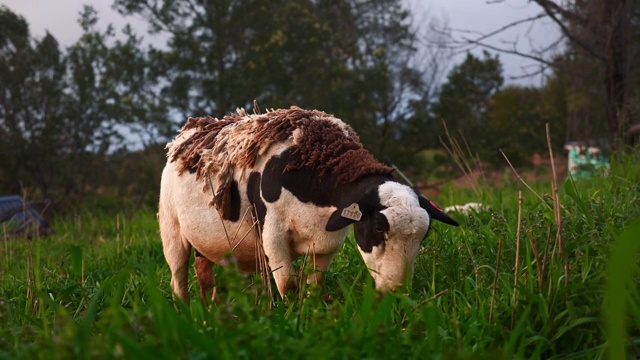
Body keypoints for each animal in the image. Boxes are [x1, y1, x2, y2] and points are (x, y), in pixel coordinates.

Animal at [160, 105, 460, 302]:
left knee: (205, 279)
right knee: (179, 281)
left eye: (425, 234)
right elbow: (289, 287)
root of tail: (186, 134)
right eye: (378, 227)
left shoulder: (326, 245)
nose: (397, 292)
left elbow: (313, 287)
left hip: (205, 243)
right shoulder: (273, 238)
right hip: (172, 232)